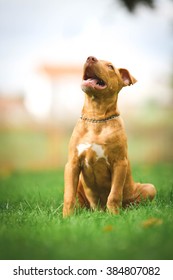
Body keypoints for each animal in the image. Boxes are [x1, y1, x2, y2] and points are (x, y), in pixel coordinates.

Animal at [62, 55, 157, 217]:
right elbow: (69, 195)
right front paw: (66, 218)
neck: (96, 117)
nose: (90, 58)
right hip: (80, 183)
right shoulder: (72, 164)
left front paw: (115, 216)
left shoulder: (119, 163)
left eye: (111, 67)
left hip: (149, 188)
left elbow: (114, 194)